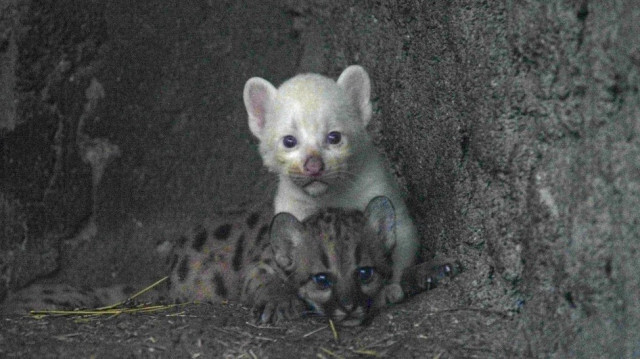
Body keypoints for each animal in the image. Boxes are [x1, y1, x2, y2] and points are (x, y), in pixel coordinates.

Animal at [242, 65, 418, 304]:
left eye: (334, 137)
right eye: (289, 141)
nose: (314, 165)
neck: (329, 197)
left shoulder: (383, 193)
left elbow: (399, 249)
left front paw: (391, 289)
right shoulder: (292, 209)